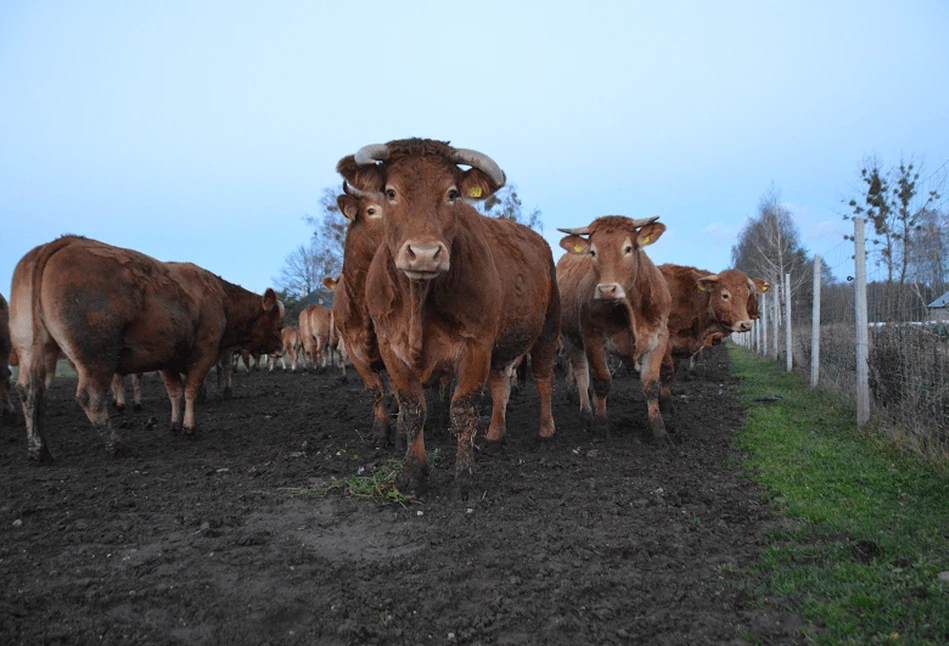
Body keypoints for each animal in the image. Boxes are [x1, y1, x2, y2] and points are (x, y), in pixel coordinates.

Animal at [9, 237, 284, 460]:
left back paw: (39, 450)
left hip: (34, 350)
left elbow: (175, 392)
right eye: (278, 322)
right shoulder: (203, 354)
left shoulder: (166, 359)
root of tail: (59, 244)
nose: (281, 348)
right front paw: (189, 428)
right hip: (96, 357)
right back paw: (116, 445)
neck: (219, 299)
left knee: (30, 391)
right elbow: (190, 390)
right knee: (90, 397)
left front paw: (174, 424)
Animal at [336, 139, 560, 498]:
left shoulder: (476, 346)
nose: (425, 254)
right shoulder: (389, 350)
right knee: (501, 384)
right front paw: (413, 472)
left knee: (543, 379)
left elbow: (463, 410)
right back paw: (495, 435)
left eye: (452, 193)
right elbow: (412, 409)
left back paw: (545, 430)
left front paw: (464, 478)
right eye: (390, 192)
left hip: (548, 329)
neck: (417, 301)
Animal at [552, 215, 672, 442]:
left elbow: (651, 384)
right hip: (570, 338)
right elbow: (601, 381)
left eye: (628, 248)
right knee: (581, 373)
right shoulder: (593, 339)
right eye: (592, 252)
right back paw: (587, 414)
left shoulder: (659, 338)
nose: (607, 289)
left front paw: (659, 430)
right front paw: (601, 426)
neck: (630, 310)